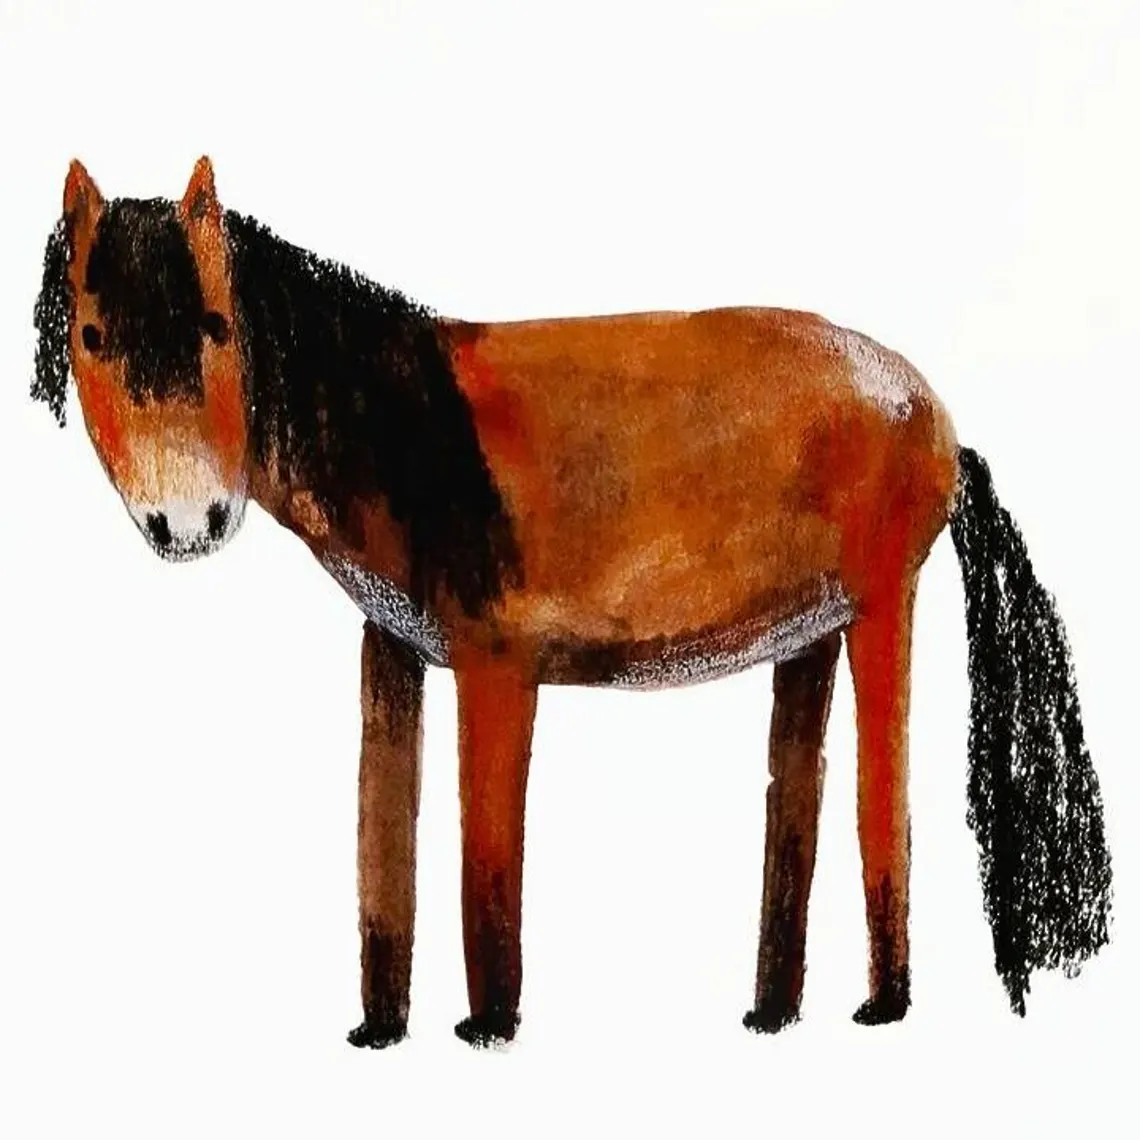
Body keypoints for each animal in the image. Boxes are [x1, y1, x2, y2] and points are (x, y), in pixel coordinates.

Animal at [31, 157, 1112, 1048]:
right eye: (91, 337)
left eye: (217, 330)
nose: (188, 522)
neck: (412, 434)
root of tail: (936, 418)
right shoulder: (392, 648)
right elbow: (383, 860)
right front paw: (379, 1034)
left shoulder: (496, 666)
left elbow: (485, 868)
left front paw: (486, 1031)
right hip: (808, 636)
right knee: (795, 813)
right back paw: (771, 1014)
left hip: (883, 609)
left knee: (883, 808)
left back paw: (882, 1009)